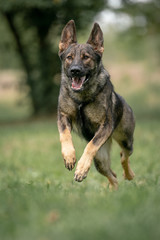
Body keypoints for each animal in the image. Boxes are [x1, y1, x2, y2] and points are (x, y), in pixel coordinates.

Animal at [57, 20, 135, 189]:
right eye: (69, 57)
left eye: (86, 57)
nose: (75, 70)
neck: (82, 97)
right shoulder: (63, 116)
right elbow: (65, 135)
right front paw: (69, 156)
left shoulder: (105, 125)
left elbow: (90, 146)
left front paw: (81, 168)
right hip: (100, 160)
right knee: (113, 175)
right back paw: (114, 190)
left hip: (125, 141)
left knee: (123, 156)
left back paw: (129, 175)